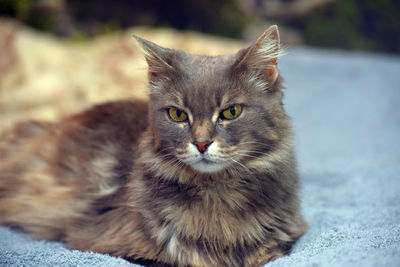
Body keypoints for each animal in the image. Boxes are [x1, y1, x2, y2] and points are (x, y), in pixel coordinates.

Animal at [0, 25, 306, 267]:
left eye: (231, 112)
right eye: (178, 115)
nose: (202, 143)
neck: (216, 194)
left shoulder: (283, 237)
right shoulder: (108, 242)